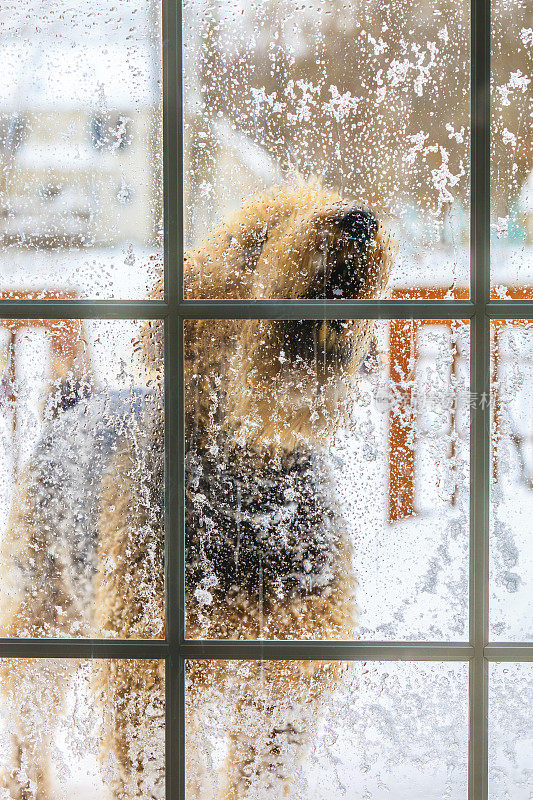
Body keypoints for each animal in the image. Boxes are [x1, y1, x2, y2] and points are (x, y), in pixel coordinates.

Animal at [0, 183, 390, 800]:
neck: (252, 493)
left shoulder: (283, 680)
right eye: (253, 241)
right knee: (24, 732)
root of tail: (72, 406)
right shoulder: (144, 680)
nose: (358, 220)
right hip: (42, 619)